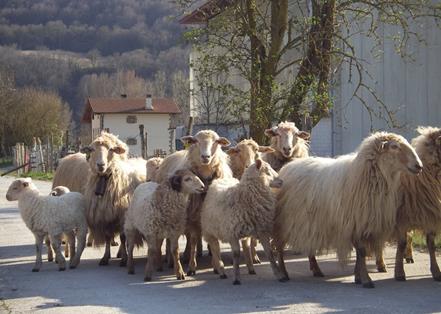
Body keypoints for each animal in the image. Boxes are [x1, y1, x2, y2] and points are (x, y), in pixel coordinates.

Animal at [80, 131, 145, 266]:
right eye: (92, 149)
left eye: (111, 149)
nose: (101, 165)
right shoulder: (105, 216)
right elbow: (107, 237)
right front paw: (105, 257)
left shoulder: (122, 216)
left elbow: (122, 237)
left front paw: (124, 259)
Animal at [156, 130, 232, 274]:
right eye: (196, 141)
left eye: (216, 141)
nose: (205, 156)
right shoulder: (192, 217)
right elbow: (193, 240)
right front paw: (192, 266)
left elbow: (212, 241)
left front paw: (216, 264)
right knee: (176, 238)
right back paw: (172, 259)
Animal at [274, 131, 422, 288]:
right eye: (394, 147)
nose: (419, 166)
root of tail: (287, 168)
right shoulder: (354, 223)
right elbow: (361, 252)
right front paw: (366, 280)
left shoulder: (362, 223)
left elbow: (360, 253)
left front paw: (358, 277)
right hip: (285, 223)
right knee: (279, 248)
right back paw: (283, 273)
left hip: (310, 223)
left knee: (309, 246)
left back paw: (316, 270)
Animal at [372, 126, 440, 280]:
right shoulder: (401, 219)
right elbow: (401, 243)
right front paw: (399, 273)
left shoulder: (429, 216)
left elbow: (431, 245)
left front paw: (436, 271)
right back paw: (381, 263)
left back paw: (407, 257)